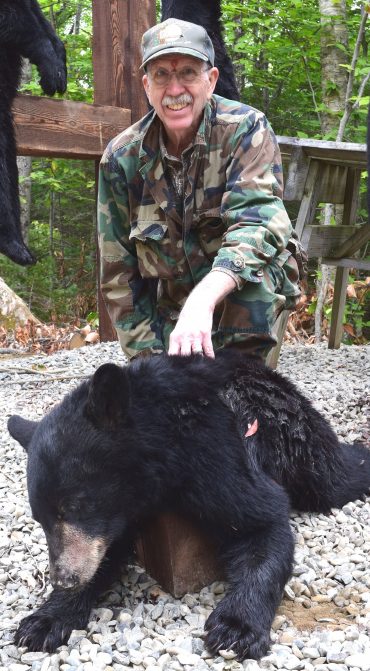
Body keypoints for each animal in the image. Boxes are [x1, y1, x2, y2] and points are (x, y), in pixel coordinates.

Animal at [6, 352, 370, 660]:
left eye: (74, 506)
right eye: (40, 520)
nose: (64, 579)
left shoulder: (214, 452)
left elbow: (262, 524)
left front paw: (236, 627)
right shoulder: (118, 513)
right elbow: (103, 552)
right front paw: (46, 619)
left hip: (298, 441)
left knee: (337, 477)